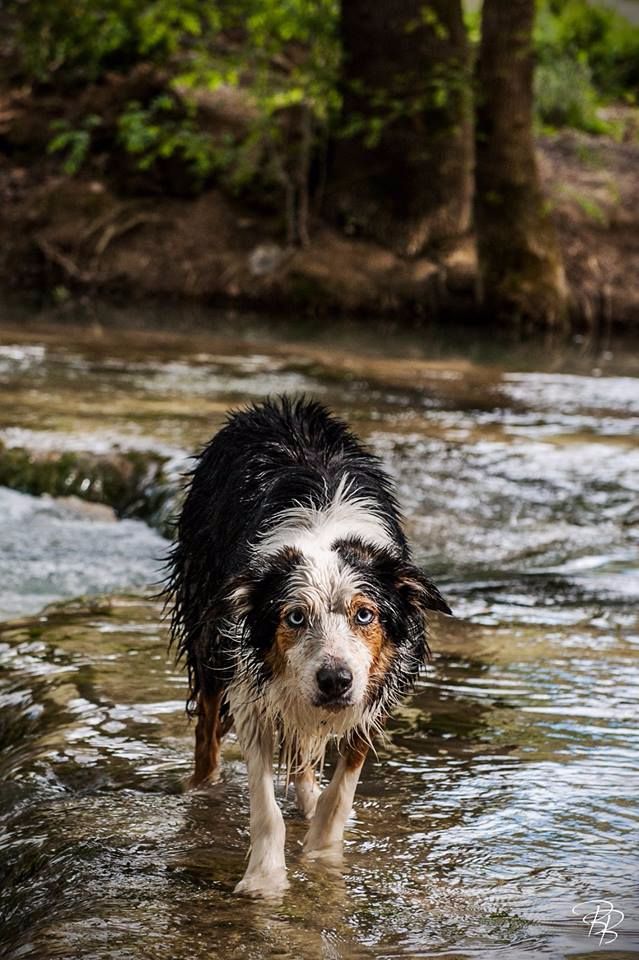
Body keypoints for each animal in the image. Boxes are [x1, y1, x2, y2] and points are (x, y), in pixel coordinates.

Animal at [168, 394, 452, 896]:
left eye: (365, 614)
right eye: (295, 616)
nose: (334, 680)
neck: (322, 531)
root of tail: (275, 405)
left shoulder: (371, 693)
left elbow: (340, 791)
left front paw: (321, 854)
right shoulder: (251, 687)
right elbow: (265, 807)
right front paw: (264, 879)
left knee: (302, 751)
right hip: (208, 636)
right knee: (207, 730)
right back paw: (203, 792)